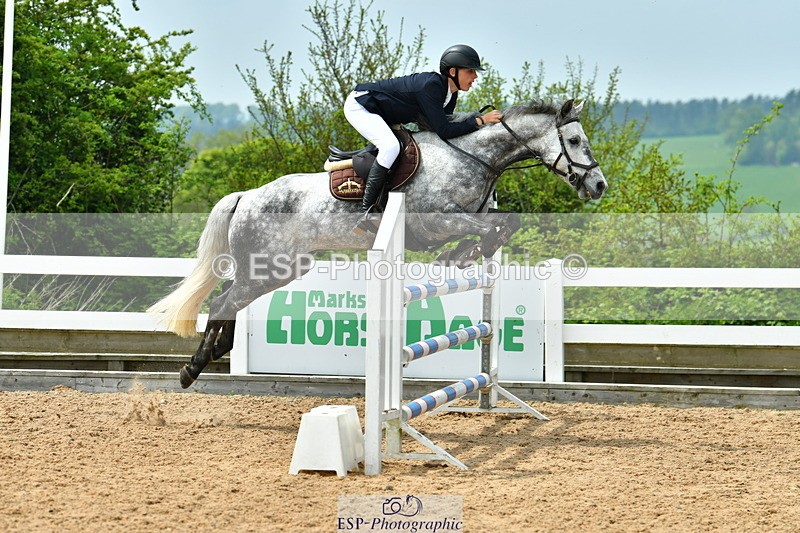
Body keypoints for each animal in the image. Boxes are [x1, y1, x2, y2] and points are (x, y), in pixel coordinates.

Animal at [147, 98, 607, 388]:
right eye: (574, 141)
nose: (599, 186)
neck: (473, 157)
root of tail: (246, 196)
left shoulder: (476, 214)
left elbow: (506, 222)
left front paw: (466, 255)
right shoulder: (437, 221)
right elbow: (485, 230)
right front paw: (458, 255)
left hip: (282, 268)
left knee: (230, 299)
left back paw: (211, 355)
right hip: (268, 265)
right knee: (223, 302)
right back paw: (191, 370)